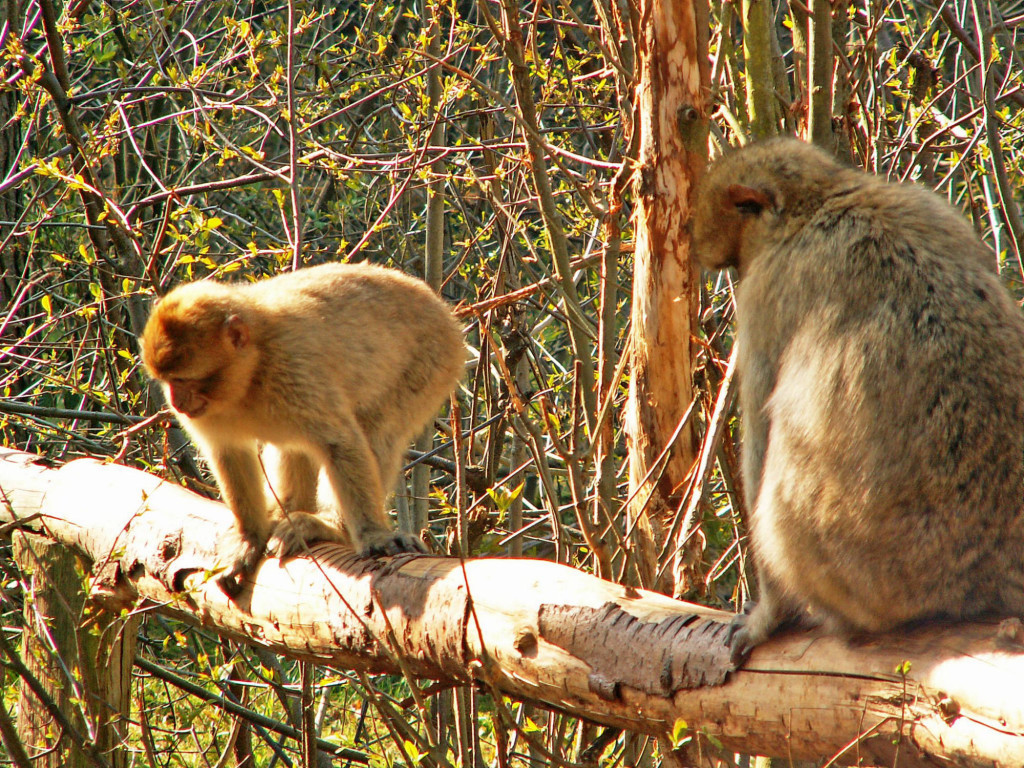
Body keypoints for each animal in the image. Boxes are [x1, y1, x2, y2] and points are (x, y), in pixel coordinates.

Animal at [140, 264, 464, 593]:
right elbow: (228, 452)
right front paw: (249, 537)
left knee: (377, 430)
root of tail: (439, 306)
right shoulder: (211, 412)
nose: (176, 402)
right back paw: (286, 510)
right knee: (294, 444)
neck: (251, 373)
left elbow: (341, 442)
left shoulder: (294, 369)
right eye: (168, 381)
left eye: (183, 380)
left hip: (433, 362)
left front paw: (374, 535)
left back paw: (331, 526)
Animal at [688, 140, 1024, 667]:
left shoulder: (764, 295)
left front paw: (769, 616)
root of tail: (995, 567)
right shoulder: (935, 209)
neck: (821, 201)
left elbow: (759, 445)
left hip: (869, 578)